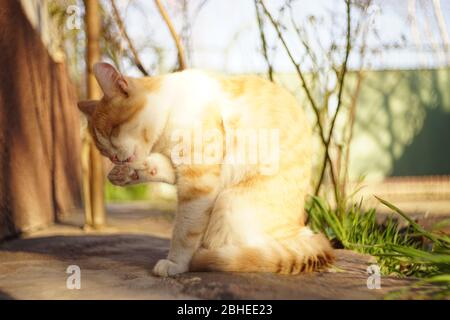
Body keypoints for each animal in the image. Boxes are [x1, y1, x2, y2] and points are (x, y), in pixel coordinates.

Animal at [77, 62, 332, 276]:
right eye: (103, 150)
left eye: (113, 131)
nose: (114, 157)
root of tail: (305, 232)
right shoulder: (182, 168)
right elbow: (161, 167)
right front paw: (128, 172)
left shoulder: (199, 180)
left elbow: (184, 230)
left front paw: (175, 263)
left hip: (229, 203)